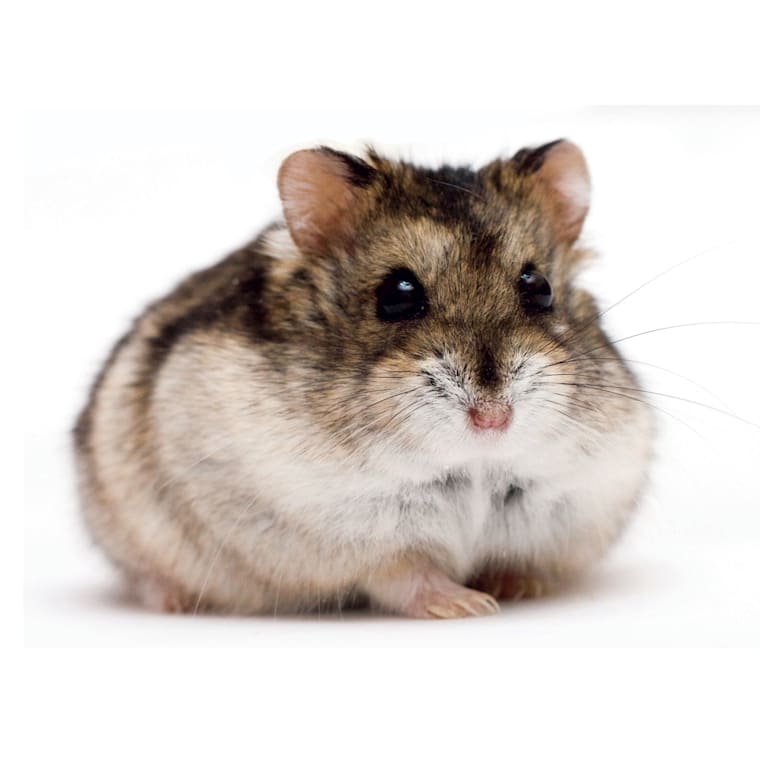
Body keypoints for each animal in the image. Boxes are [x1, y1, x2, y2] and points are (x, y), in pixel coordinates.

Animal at [73, 139, 654, 618]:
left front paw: (511, 589)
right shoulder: (340, 534)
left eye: (539, 288)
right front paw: (469, 605)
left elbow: (517, 562)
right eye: (397, 293)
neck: (473, 463)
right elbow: (404, 574)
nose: (493, 419)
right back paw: (171, 600)